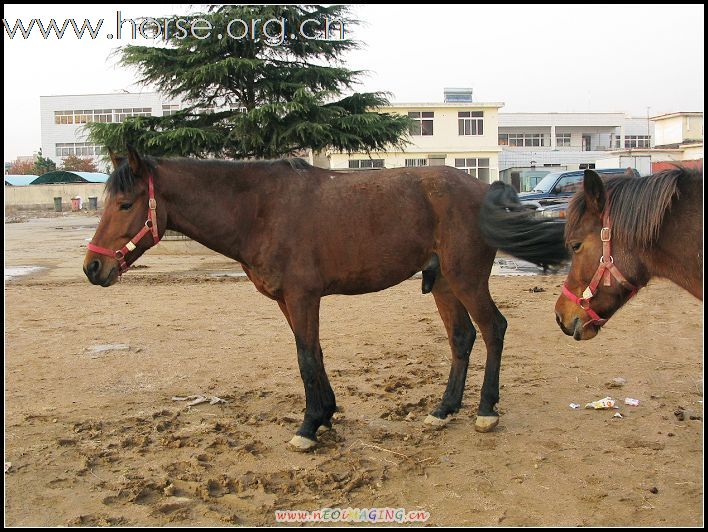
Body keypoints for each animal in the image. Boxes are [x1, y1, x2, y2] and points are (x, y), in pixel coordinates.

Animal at [83, 148, 568, 450]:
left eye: (125, 204)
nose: (92, 268)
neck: (260, 210)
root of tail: (482, 190)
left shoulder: (302, 298)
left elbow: (305, 358)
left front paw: (309, 426)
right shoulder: (290, 302)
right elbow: (312, 353)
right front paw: (326, 414)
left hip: (467, 279)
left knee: (493, 329)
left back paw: (486, 410)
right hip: (445, 283)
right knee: (462, 338)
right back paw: (444, 409)